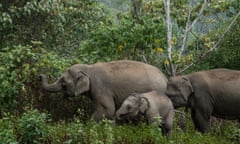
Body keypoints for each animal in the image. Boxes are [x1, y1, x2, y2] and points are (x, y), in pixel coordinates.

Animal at [39, 59, 167, 121]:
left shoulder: (100, 88)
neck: (88, 68)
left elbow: (108, 109)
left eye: (64, 84)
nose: (39, 76)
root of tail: (165, 77)